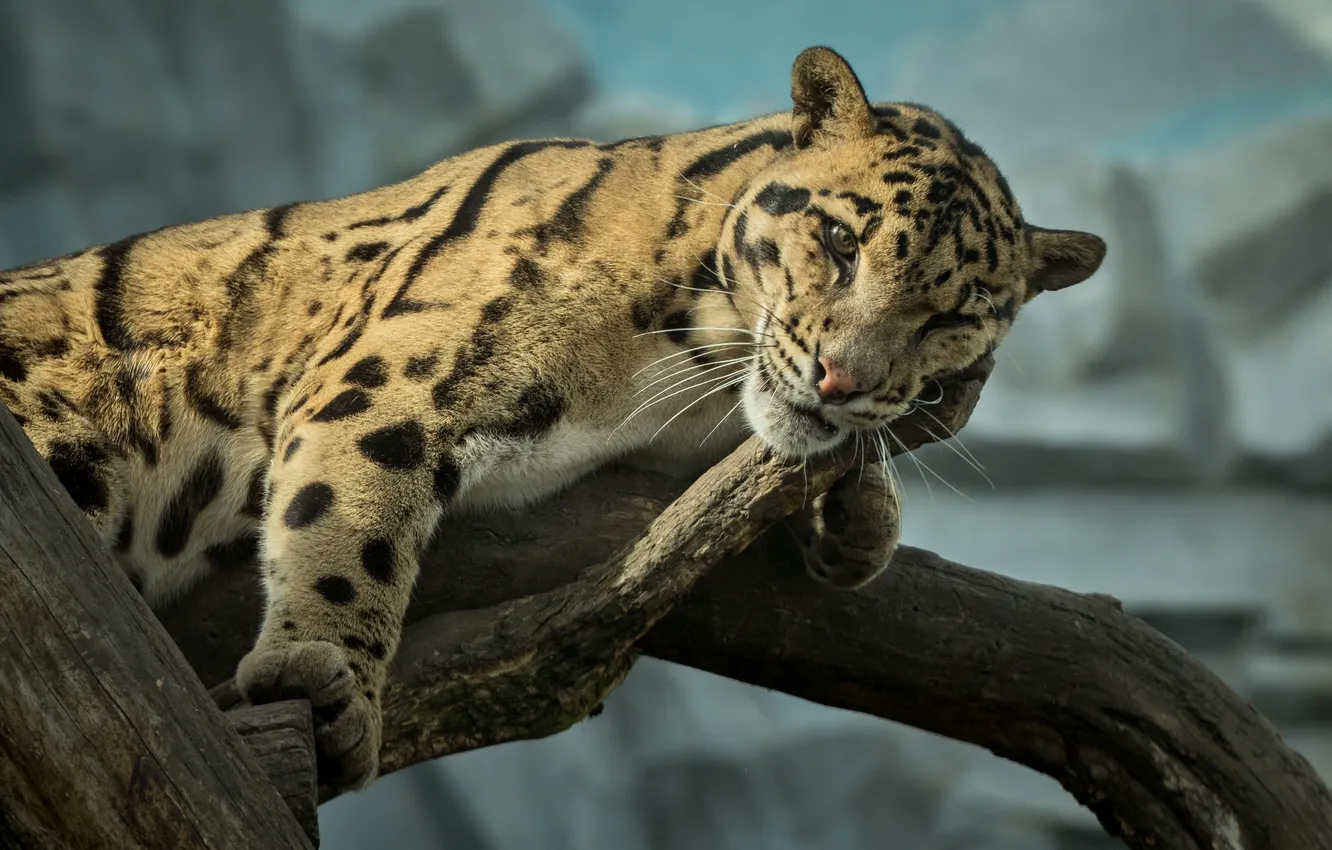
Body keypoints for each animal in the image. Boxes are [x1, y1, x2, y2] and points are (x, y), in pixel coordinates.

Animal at [0, 47, 1105, 794]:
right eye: (838, 241)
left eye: (952, 316)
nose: (841, 378)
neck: (684, 359)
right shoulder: (386, 378)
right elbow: (348, 526)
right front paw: (322, 673)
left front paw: (859, 514)